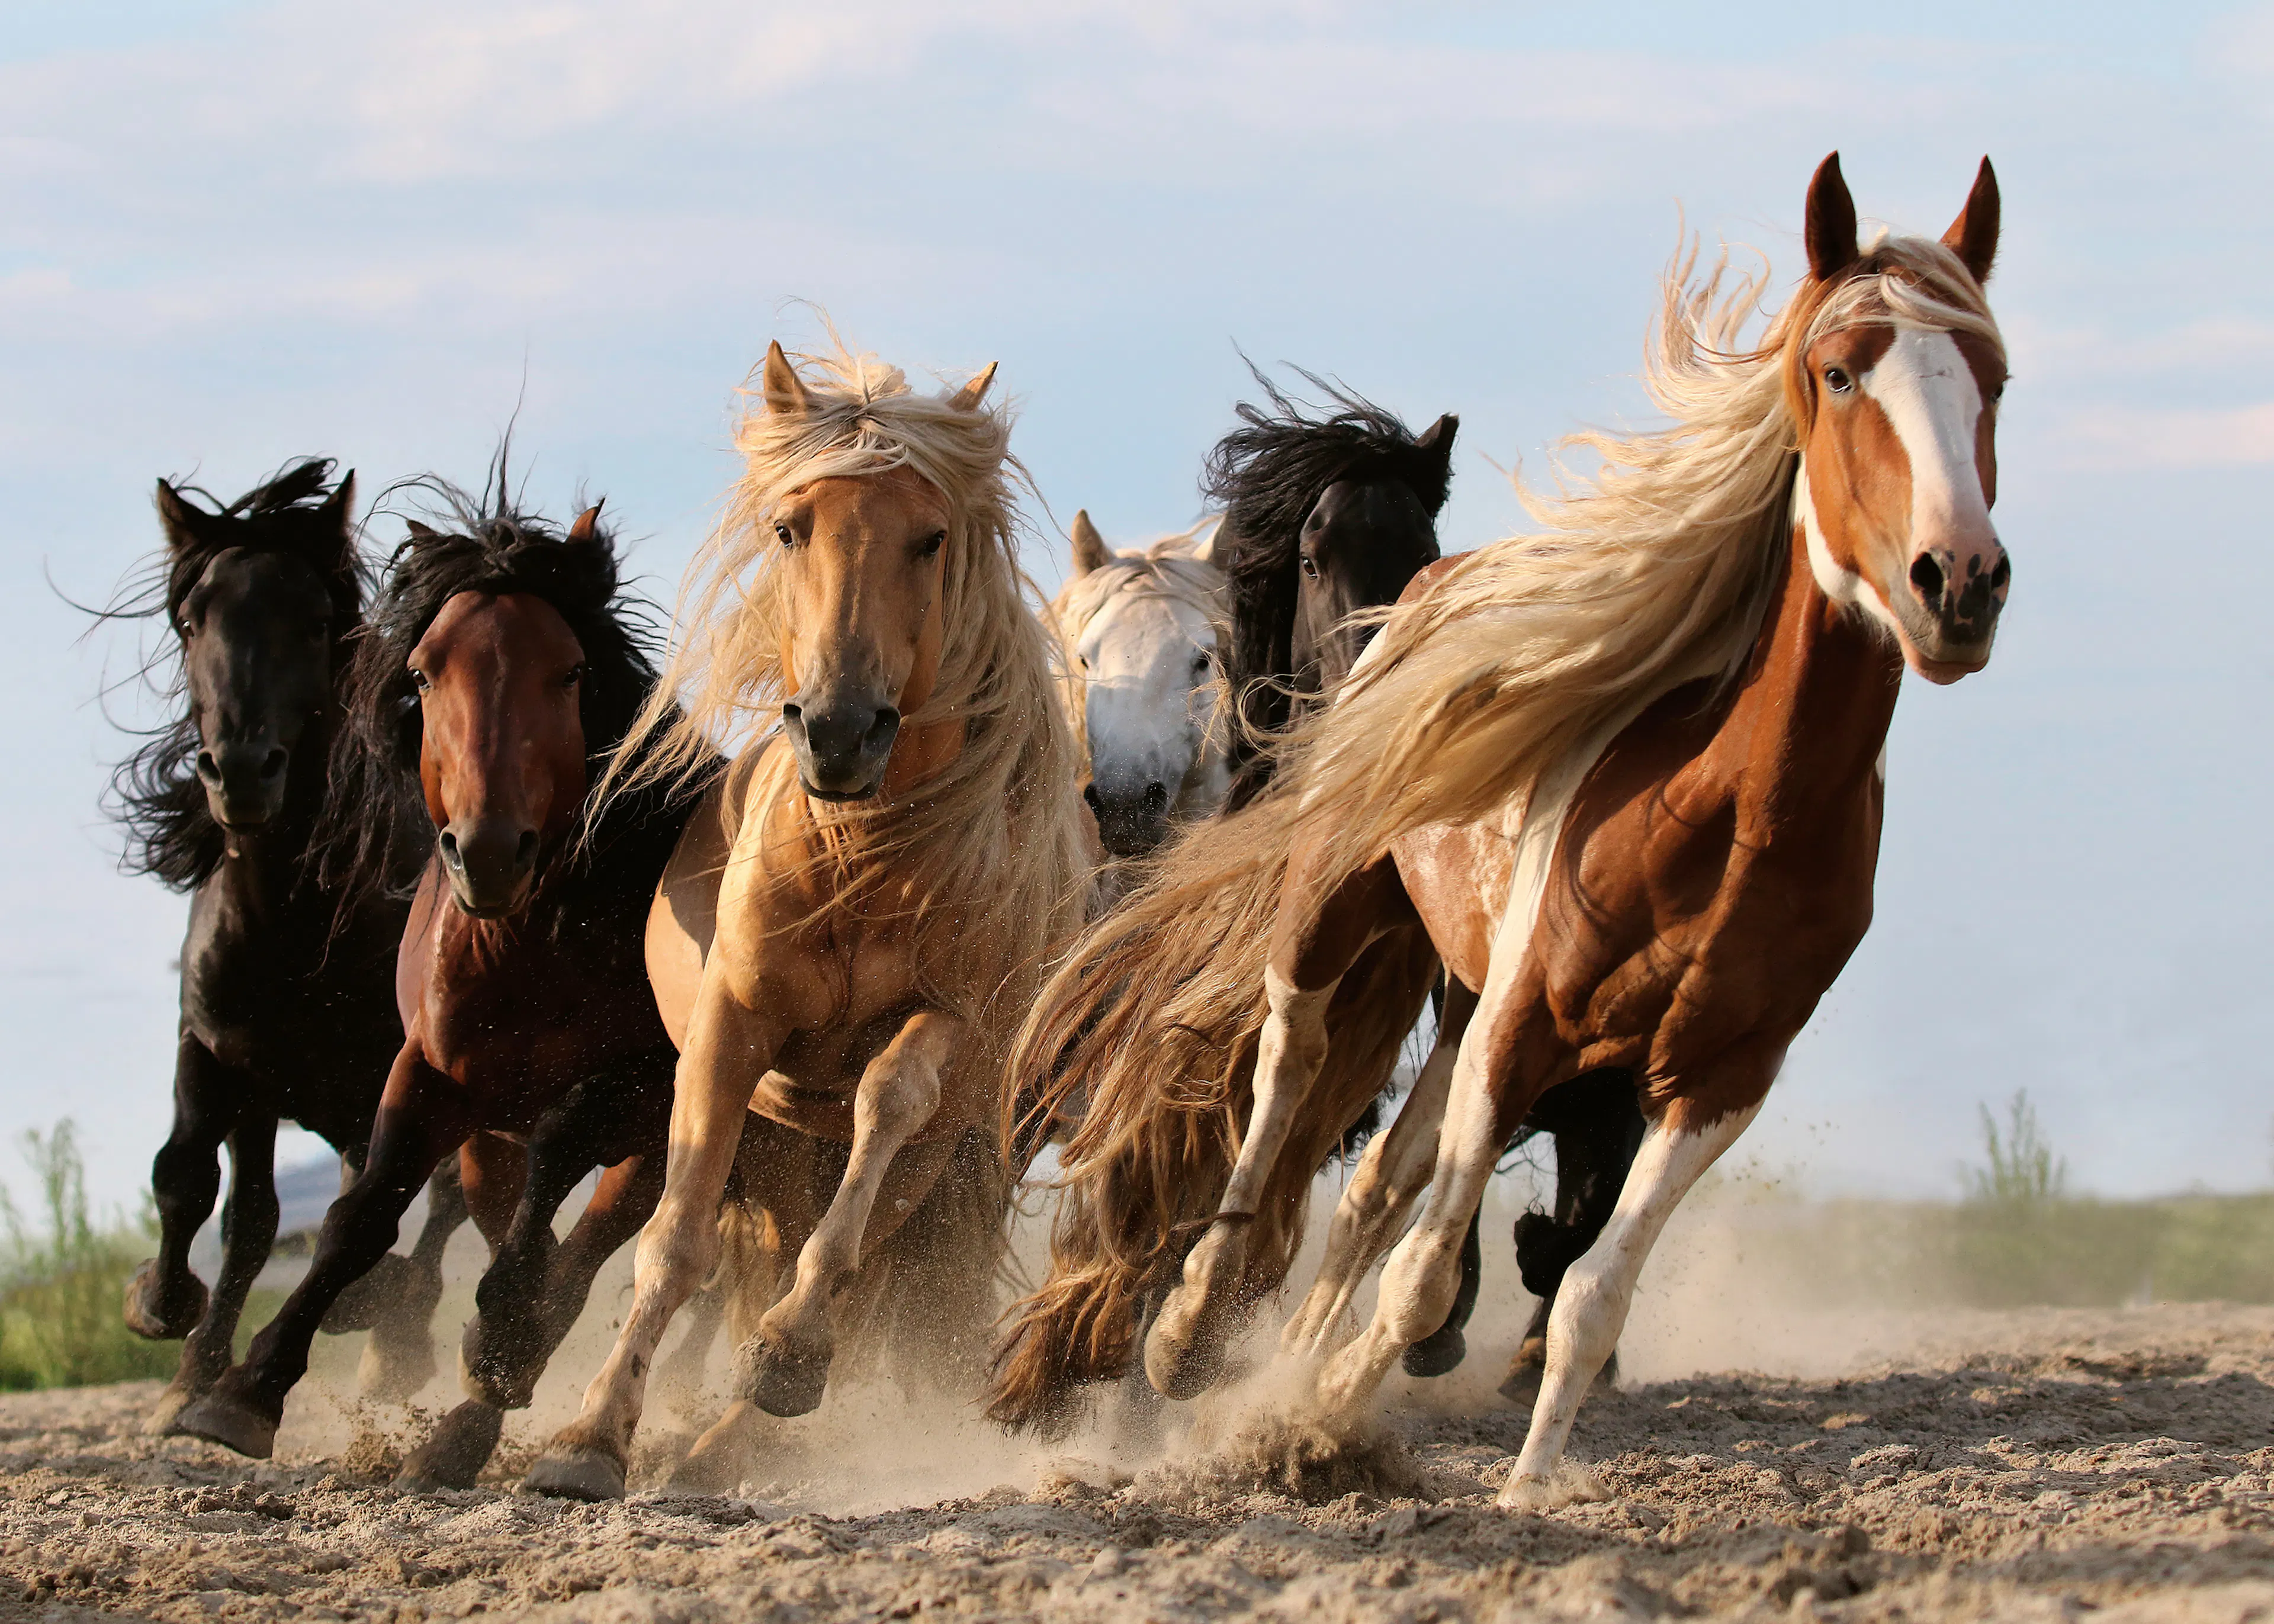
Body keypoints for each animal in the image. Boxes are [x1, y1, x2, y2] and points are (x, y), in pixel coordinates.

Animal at [104, 460, 465, 1434]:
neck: (292, 926)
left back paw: (394, 1338)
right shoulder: (225, 1054)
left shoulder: (394, 1072)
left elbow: (382, 1203)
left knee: (441, 1203)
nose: (241, 770)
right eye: (194, 620)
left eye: (313, 620)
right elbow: (205, 1188)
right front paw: (171, 1329)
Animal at [169, 491, 721, 1482]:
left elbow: (561, 1165)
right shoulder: (429, 1071)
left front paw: (499, 1336)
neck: (533, 941)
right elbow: (362, 1211)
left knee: (585, 1248)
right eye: (425, 675)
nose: (489, 850)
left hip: (657, 1137)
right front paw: (246, 1388)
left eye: (569, 672)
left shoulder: (643, 1087)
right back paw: (463, 1419)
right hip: (488, 1138)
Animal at [521, 339, 1091, 1501]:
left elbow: (886, 1105)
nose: (837, 730)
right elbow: (676, 1240)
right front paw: (589, 1435)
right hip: (784, 1143)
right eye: (791, 527)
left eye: (931, 536)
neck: (860, 860)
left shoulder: (950, 1025)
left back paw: (741, 1424)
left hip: (934, 1156)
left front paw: (786, 1352)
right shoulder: (732, 1030)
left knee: (862, 1264)